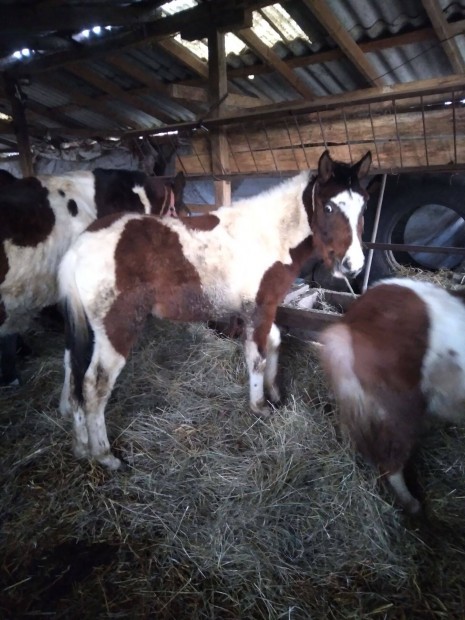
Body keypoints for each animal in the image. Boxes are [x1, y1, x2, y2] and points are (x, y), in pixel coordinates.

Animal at [58, 149, 372, 469]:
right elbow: (257, 357)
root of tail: (78, 248)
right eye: (329, 207)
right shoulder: (259, 310)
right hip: (116, 330)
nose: (353, 265)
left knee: (74, 378)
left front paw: (275, 393)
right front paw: (259, 406)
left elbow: (274, 343)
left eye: (364, 206)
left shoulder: (263, 309)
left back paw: (81, 447)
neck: (268, 236)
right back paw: (105, 456)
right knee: (94, 386)